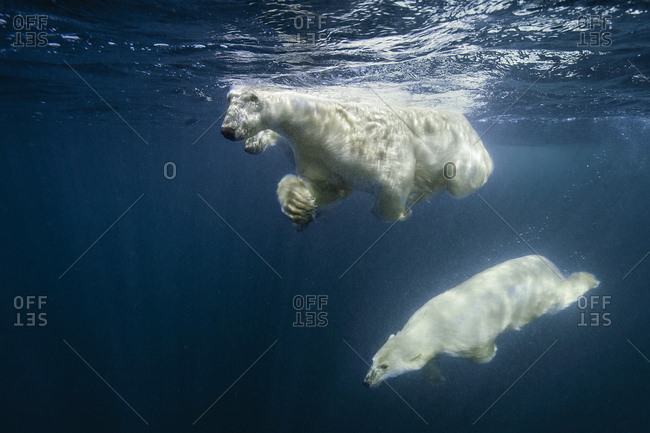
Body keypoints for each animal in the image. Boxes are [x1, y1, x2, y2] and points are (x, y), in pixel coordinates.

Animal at [221, 87, 493, 229]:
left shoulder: (368, 142)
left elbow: (394, 180)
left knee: (464, 179)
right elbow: (331, 187)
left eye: (251, 100)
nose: (227, 129)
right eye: (228, 99)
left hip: (465, 150)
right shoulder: (314, 154)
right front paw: (298, 204)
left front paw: (403, 209)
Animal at [363, 255, 599, 387]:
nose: (366, 382)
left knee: (562, 297)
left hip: (544, 297)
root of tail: (551, 268)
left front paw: (490, 354)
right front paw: (436, 378)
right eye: (372, 360)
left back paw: (590, 279)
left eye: (384, 366)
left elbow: (481, 351)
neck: (430, 325)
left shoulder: (461, 339)